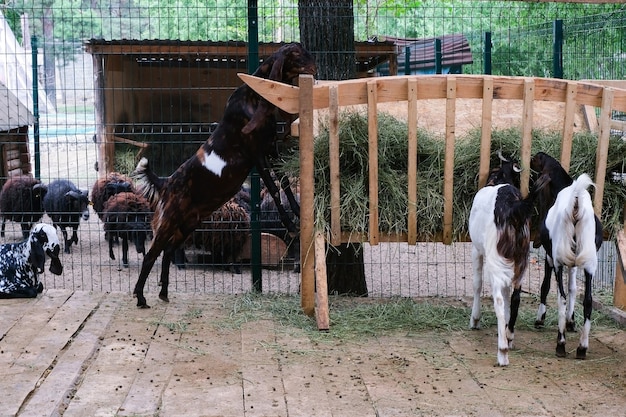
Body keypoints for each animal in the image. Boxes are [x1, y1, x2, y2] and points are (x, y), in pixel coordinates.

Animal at [468, 153, 540, 364]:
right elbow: (510, 296)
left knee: (499, 300)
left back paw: (502, 352)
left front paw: (475, 319)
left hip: (495, 259)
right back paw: (509, 336)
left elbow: (477, 283)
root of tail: (513, 209)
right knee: (515, 296)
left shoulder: (476, 249)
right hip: (522, 258)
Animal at [528, 151, 604, 360]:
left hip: (559, 258)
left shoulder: (551, 256)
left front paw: (540, 319)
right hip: (589, 262)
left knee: (560, 296)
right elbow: (573, 288)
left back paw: (560, 344)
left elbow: (546, 286)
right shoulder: (575, 262)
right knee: (587, 301)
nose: (530, 161)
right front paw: (571, 322)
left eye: (537, 160)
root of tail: (576, 203)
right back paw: (582, 348)